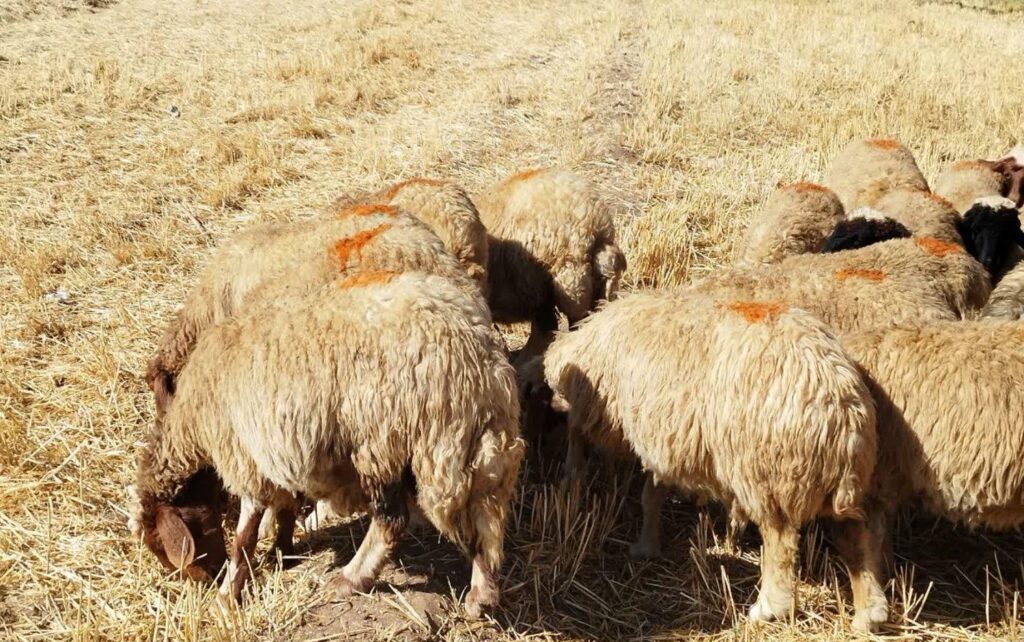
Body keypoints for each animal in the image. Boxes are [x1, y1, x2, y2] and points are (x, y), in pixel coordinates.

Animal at [133, 270, 524, 618]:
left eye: (164, 549)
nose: (206, 581)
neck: (195, 420)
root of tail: (473, 352)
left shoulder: (245, 458)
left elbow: (245, 537)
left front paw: (227, 599)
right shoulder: (276, 452)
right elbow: (285, 507)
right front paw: (282, 552)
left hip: (390, 440)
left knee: (393, 520)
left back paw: (351, 579)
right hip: (477, 442)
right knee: (485, 513)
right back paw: (482, 595)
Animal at [524, 292, 884, 634]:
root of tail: (841, 412)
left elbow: (582, 441)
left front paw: (574, 478)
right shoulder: (663, 442)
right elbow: (651, 495)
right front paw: (647, 544)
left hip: (765, 475)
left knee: (780, 545)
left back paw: (768, 608)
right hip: (847, 489)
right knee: (857, 540)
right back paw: (870, 613)